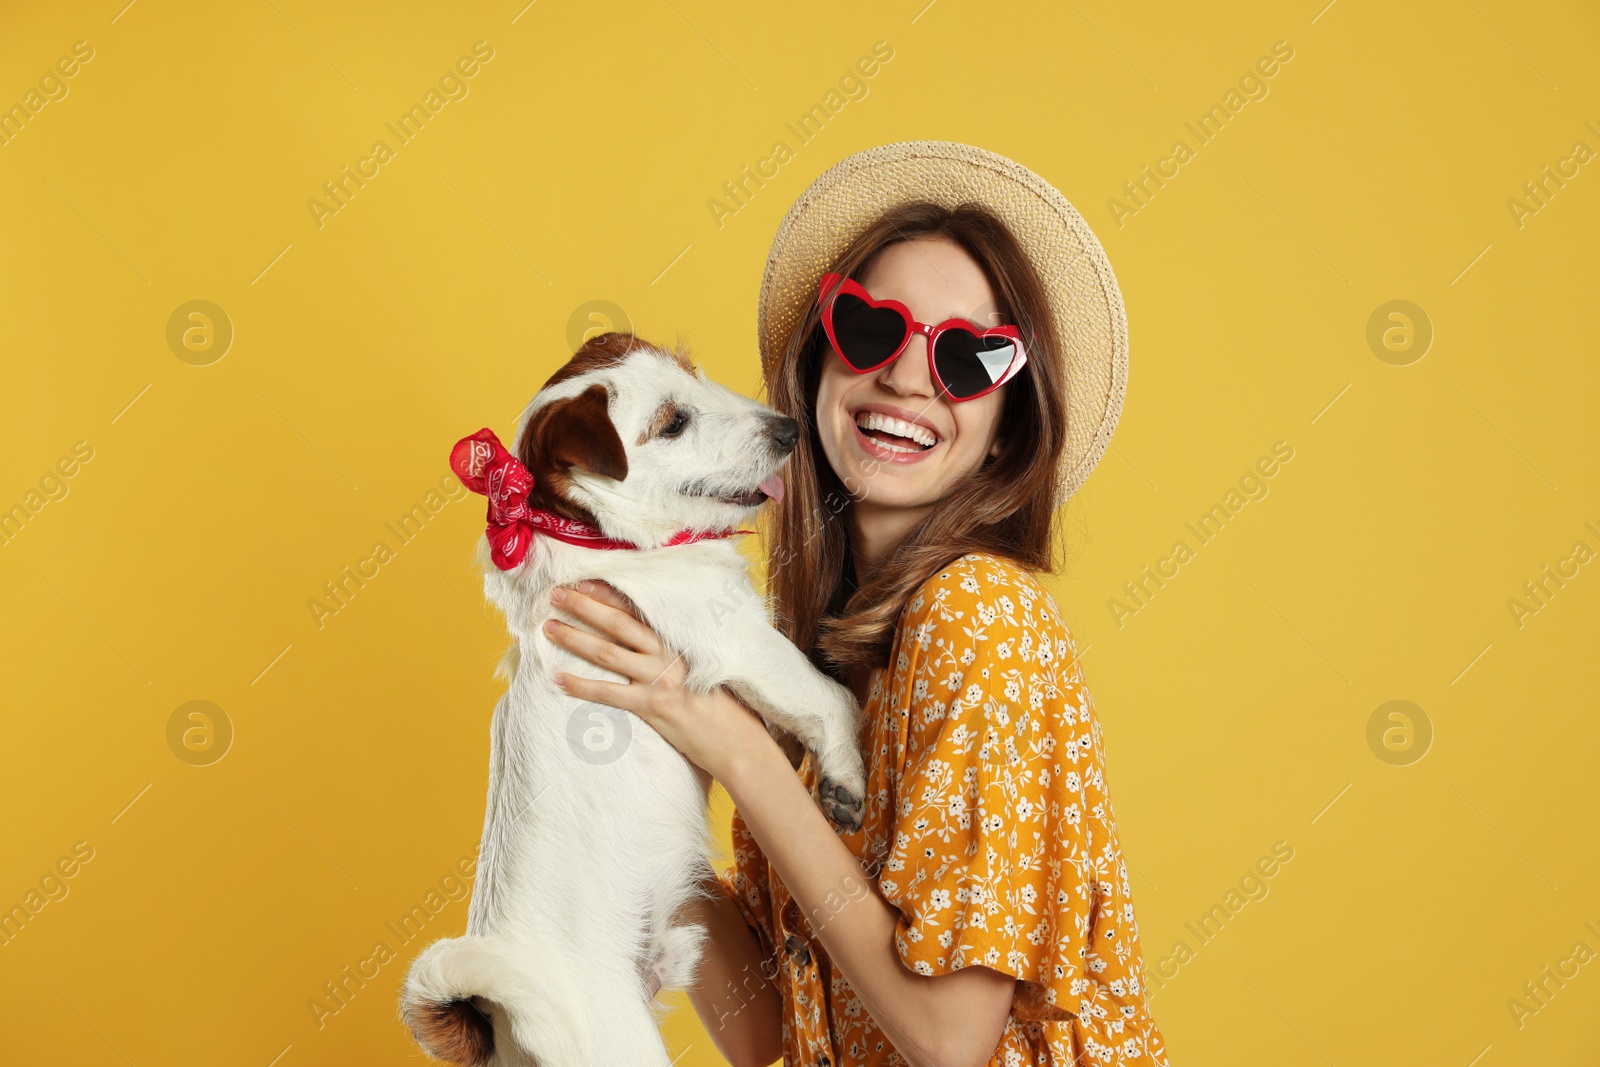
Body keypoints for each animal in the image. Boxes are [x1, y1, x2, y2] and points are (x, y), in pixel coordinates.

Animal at [406, 334, 870, 1067]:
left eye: (698, 379)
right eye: (672, 422)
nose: (789, 429)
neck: (602, 537)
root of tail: (499, 1019)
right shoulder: (737, 637)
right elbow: (829, 697)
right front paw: (846, 775)